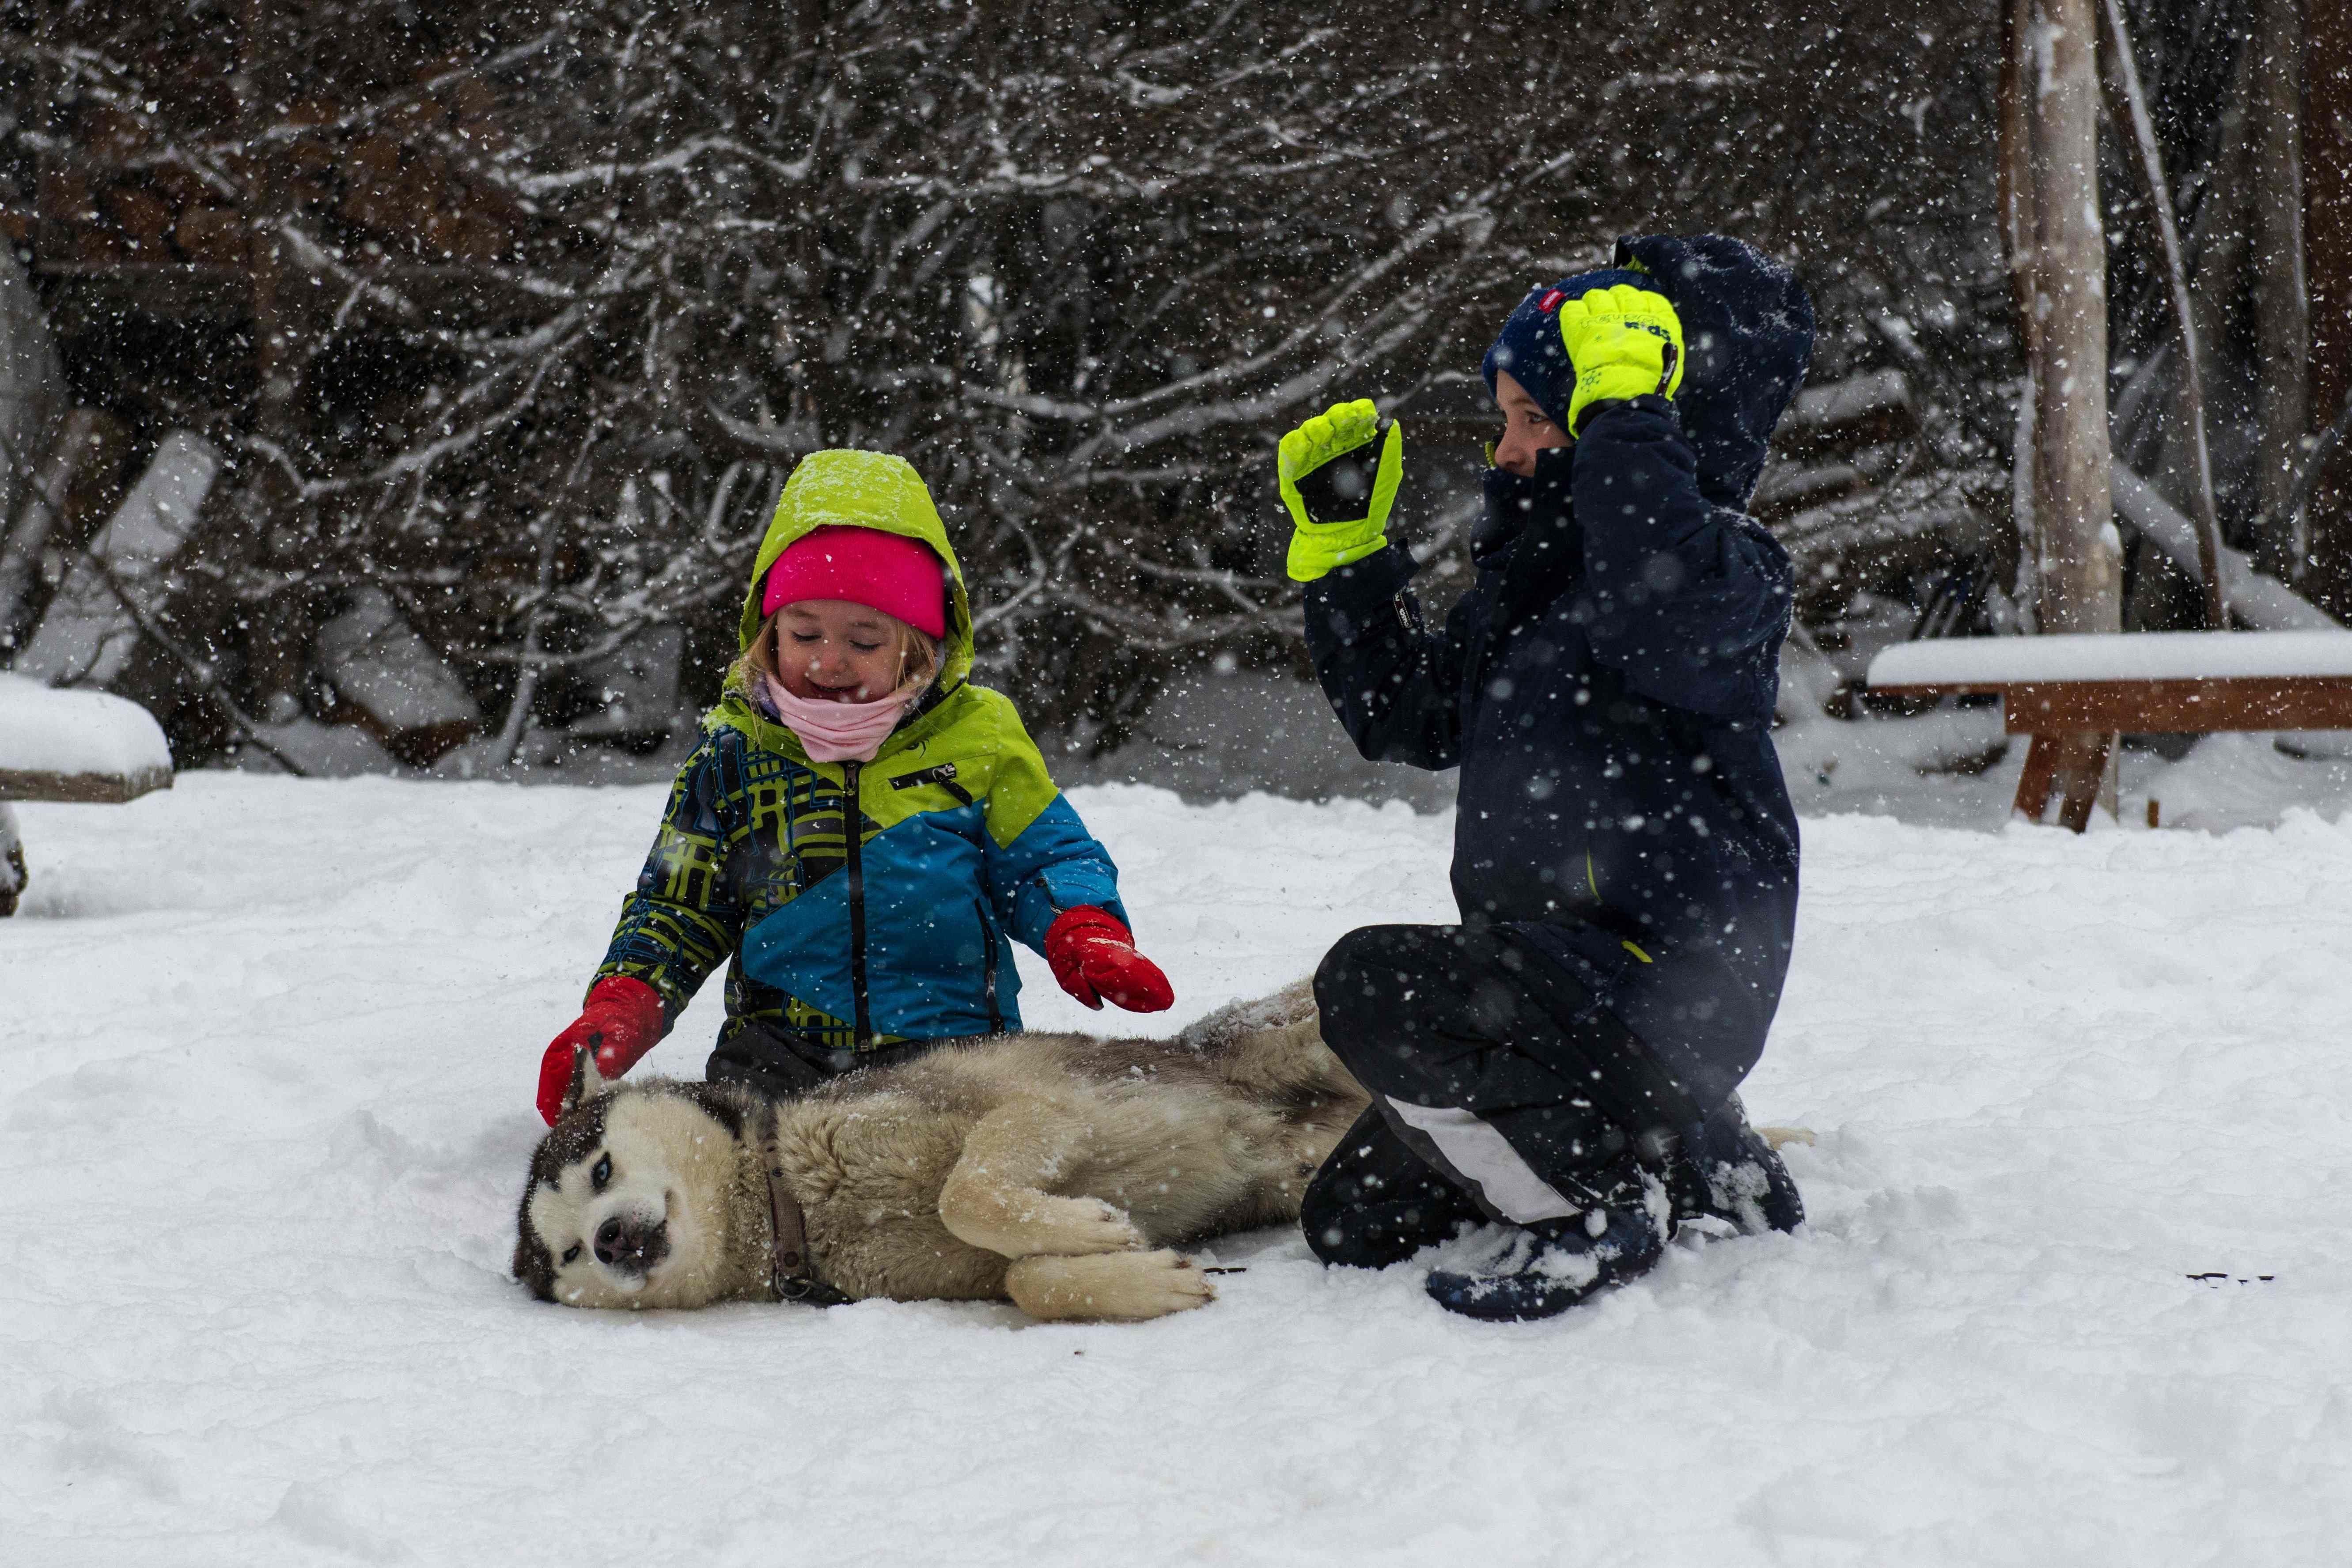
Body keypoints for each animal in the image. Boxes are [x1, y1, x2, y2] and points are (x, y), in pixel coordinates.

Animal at [510, 987, 1364, 1316]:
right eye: (568, 1255)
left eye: (601, 1168)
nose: (610, 1238)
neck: (793, 1202)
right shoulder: (960, 1279)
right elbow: (1026, 1282)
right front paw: (1141, 1274)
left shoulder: (1023, 1110)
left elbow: (965, 1194)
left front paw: (1089, 1229)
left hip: (1299, 1042)